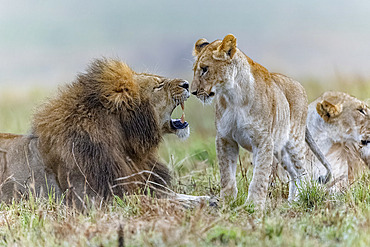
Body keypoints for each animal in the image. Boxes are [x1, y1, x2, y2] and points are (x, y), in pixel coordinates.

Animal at [0, 58, 197, 206]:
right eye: (158, 86)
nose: (187, 84)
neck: (127, 148)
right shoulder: (91, 199)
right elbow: (156, 200)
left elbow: (178, 196)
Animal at [191, 34, 330, 208]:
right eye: (195, 70)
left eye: (205, 69)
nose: (193, 92)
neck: (233, 96)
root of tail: (299, 84)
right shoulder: (225, 138)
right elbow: (226, 174)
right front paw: (226, 202)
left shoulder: (262, 140)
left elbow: (259, 176)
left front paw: (254, 206)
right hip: (280, 149)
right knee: (293, 173)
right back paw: (290, 202)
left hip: (294, 141)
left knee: (302, 172)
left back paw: (298, 201)